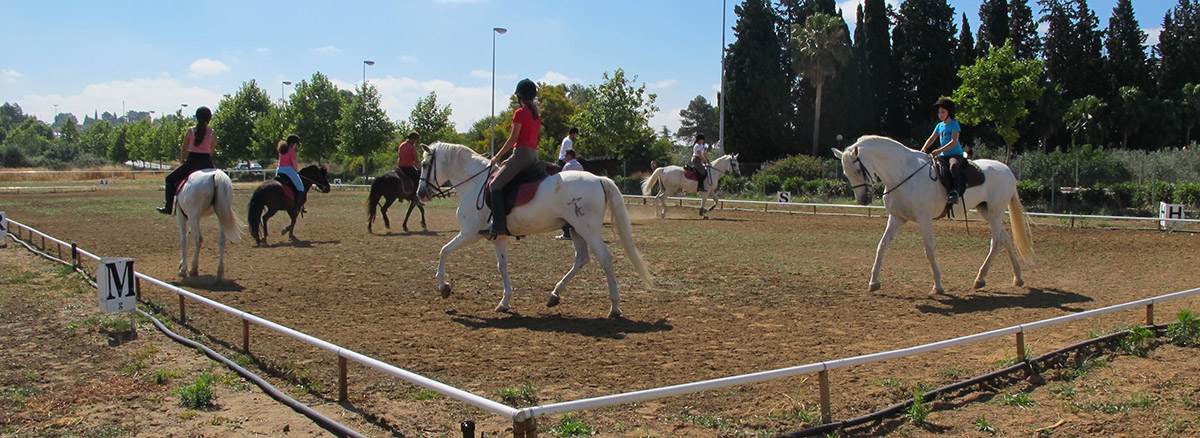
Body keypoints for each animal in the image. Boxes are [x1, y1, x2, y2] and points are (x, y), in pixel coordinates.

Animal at [417, 141, 652, 316]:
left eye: (425, 164)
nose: (420, 194)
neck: (476, 184)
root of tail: (599, 179)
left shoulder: (469, 233)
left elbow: (443, 251)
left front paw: (444, 287)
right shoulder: (498, 237)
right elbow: (502, 266)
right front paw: (504, 302)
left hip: (588, 230)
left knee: (605, 258)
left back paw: (614, 307)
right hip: (575, 229)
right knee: (581, 258)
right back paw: (554, 295)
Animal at [835, 135, 1032, 294]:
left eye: (858, 170)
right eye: (845, 173)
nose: (863, 199)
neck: (903, 174)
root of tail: (1007, 170)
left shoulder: (924, 219)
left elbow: (929, 249)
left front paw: (937, 286)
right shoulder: (897, 218)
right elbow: (882, 245)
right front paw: (874, 282)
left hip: (995, 212)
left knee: (997, 242)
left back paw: (980, 278)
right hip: (987, 212)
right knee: (1005, 239)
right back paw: (1017, 278)